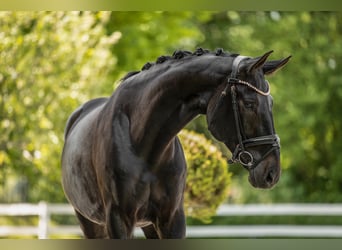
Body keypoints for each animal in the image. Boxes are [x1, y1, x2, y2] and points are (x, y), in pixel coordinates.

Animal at [60, 48, 288, 238]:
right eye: (249, 104)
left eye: (271, 103)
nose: (272, 173)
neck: (144, 145)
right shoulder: (118, 220)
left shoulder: (171, 218)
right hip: (89, 222)